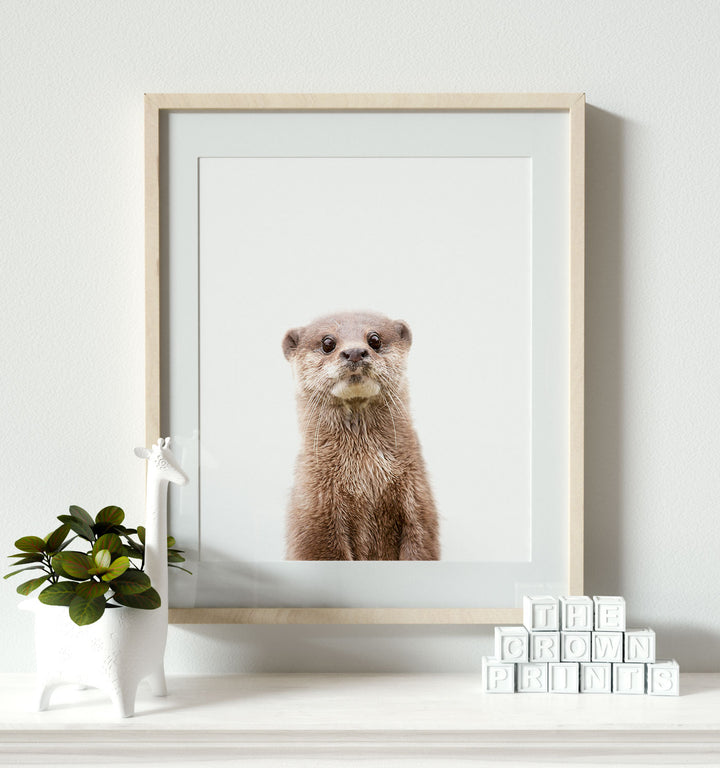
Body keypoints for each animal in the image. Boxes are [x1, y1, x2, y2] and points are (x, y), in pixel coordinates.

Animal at [282, 311, 439, 561]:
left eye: (374, 339)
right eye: (328, 343)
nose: (355, 352)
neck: (365, 479)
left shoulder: (419, 503)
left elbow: (421, 546)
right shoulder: (314, 513)